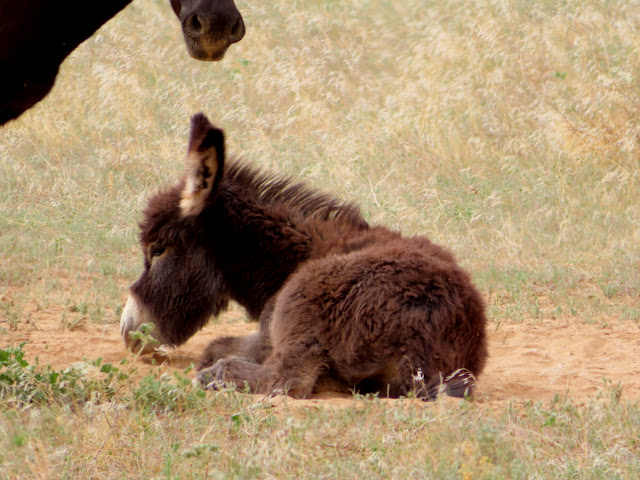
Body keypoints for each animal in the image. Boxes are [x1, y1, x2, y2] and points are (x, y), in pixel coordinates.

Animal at [120, 114, 488, 400]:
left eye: (157, 249)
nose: (127, 331)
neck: (293, 258)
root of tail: (429, 323)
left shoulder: (270, 335)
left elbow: (216, 348)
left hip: (305, 300)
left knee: (285, 380)